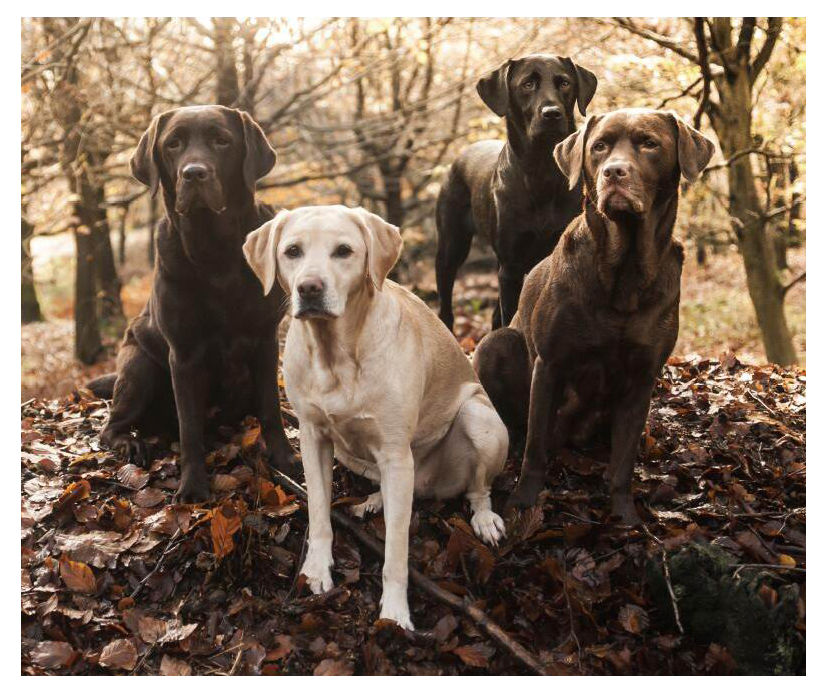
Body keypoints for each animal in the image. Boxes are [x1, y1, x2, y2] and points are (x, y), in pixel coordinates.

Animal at [89, 105, 296, 500]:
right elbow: (189, 430)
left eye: (222, 141)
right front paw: (193, 487)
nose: (194, 173)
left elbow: (270, 410)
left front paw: (286, 459)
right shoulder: (183, 355)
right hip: (139, 365)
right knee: (111, 427)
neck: (215, 251)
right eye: (173, 144)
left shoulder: (265, 339)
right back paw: (132, 443)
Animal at [243, 204, 508, 628]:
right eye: (292, 251)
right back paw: (374, 500)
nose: (310, 288)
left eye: (344, 251)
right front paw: (316, 570)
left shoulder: (396, 454)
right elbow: (319, 513)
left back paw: (484, 519)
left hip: (478, 419)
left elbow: (396, 552)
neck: (335, 354)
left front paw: (395, 613)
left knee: (477, 489)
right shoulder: (313, 438)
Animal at [436, 54, 600, 330]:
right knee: (446, 309)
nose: (552, 114)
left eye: (565, 83)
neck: (542, 171)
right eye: (527, 84)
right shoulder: (511, 266)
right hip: (450, 248)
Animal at [476, 107, 716, 520]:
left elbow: (623, 461)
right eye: (599, 147)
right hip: (496, 344)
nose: (613, 172)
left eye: (649, 144)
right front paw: (523, 501)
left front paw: (623, 515)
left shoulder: (642, 376)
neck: (624, 270)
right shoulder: (550, 364)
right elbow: (535, 447)